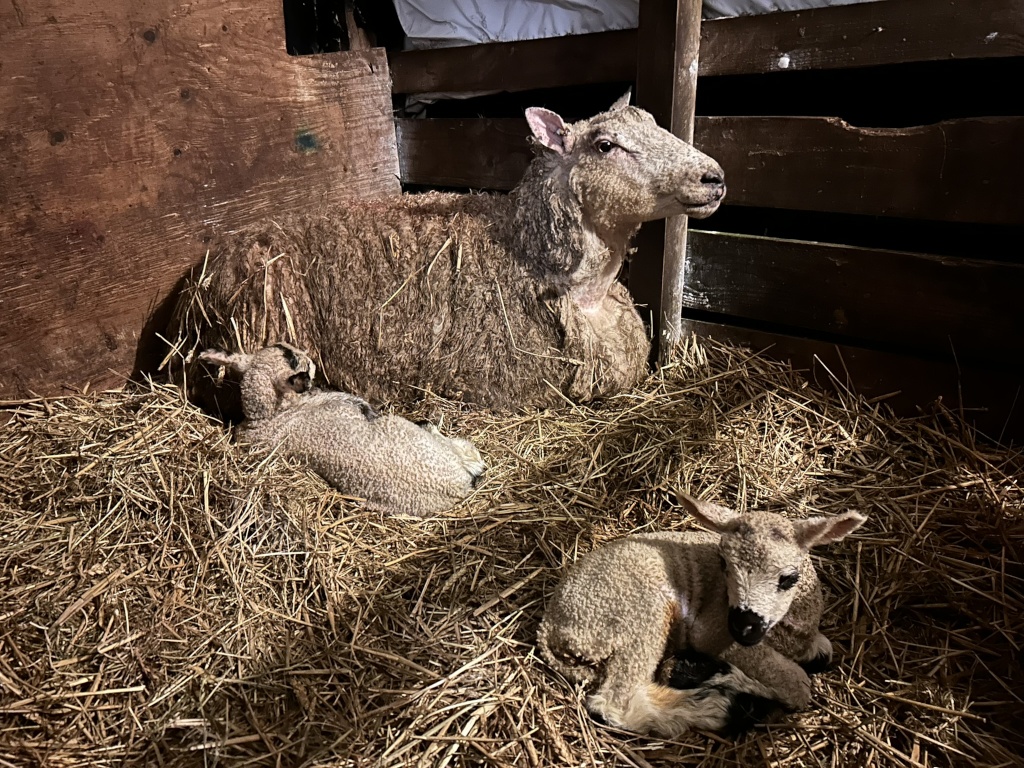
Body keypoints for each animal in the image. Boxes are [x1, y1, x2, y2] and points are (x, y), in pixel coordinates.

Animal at [199, 343, 485, 517]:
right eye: (296, 359)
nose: (310, 355)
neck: (271, 416)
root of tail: (455, 485)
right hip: (406, 430)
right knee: (462, 452)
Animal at [537, 490, 867, 738]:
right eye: (724, 566)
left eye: (789, 578)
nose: (743, 626)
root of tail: (551, 627)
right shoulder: (712, 632)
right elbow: (797, 685)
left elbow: (821, 652)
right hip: (636, 615)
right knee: (616, 702)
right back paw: (720, 707)